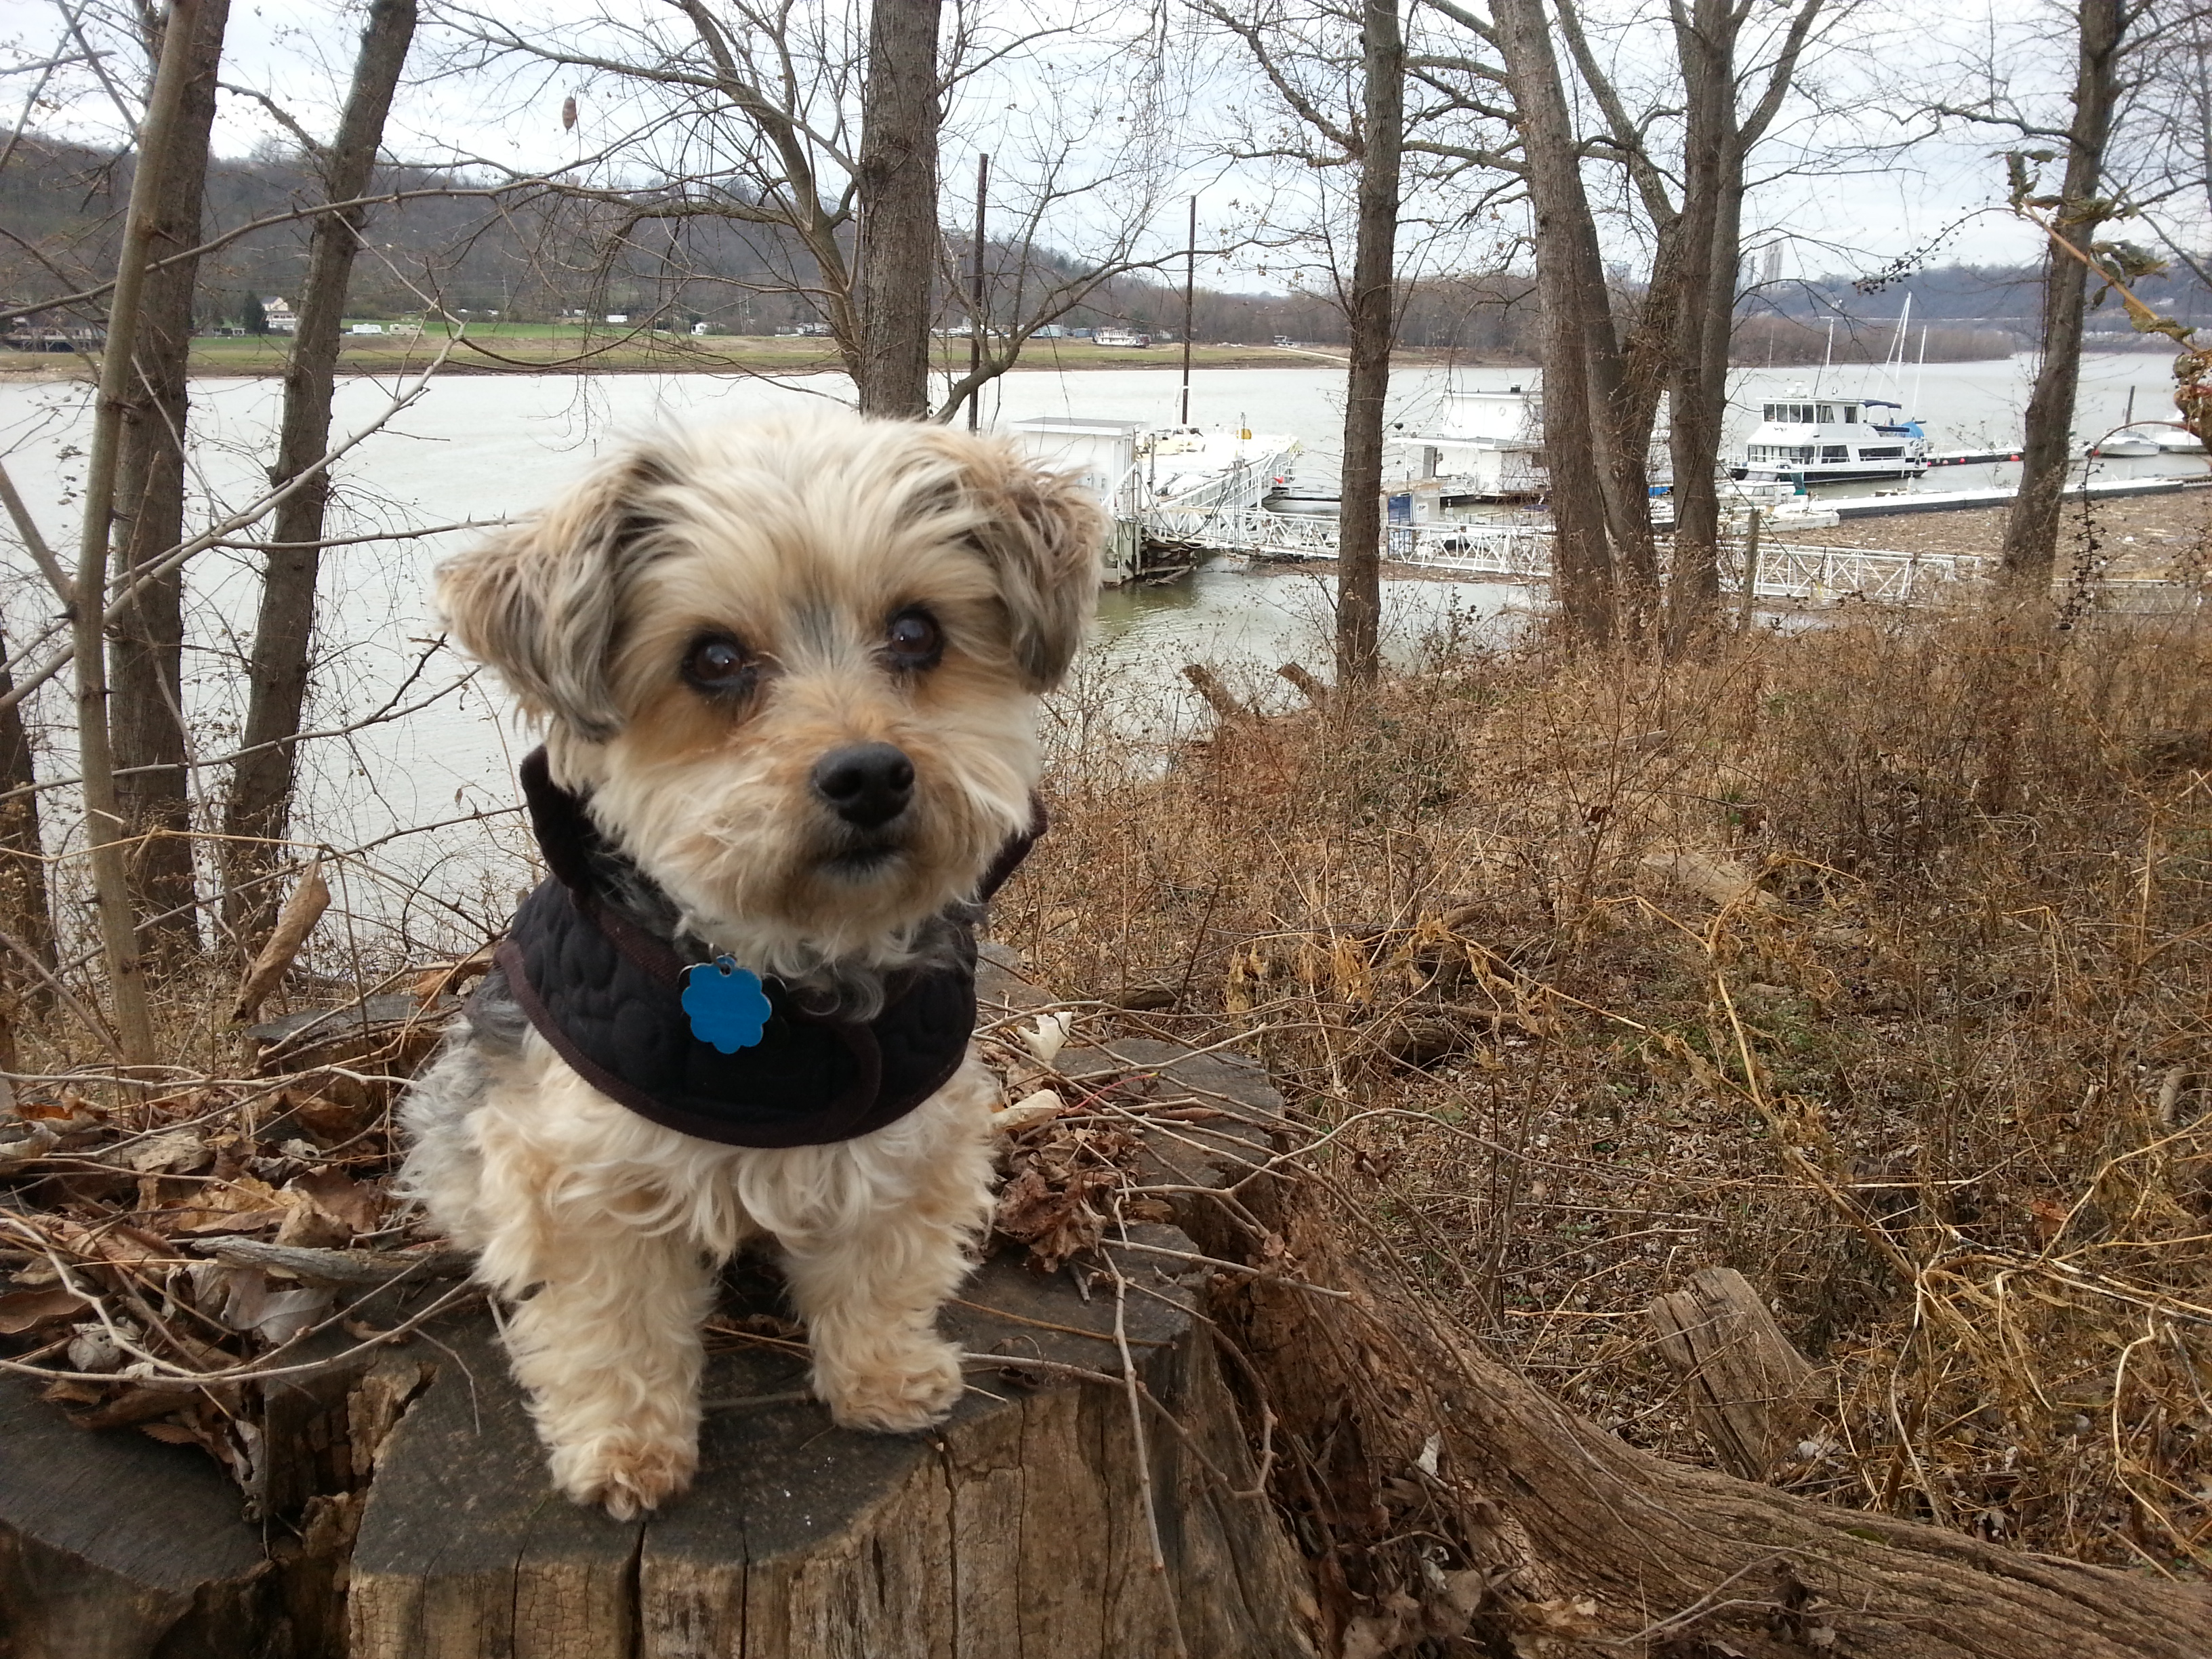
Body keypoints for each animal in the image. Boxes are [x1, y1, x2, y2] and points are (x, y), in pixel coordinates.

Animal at [400, 413, 1106, 1521]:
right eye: (715, 658)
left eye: (917, 633)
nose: (869, 774)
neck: (793, 969)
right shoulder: (578, 1170)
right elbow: (610, 1318)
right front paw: (625, 1447)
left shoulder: (911, 1135)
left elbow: (880, 1260)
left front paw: (882, 1375)